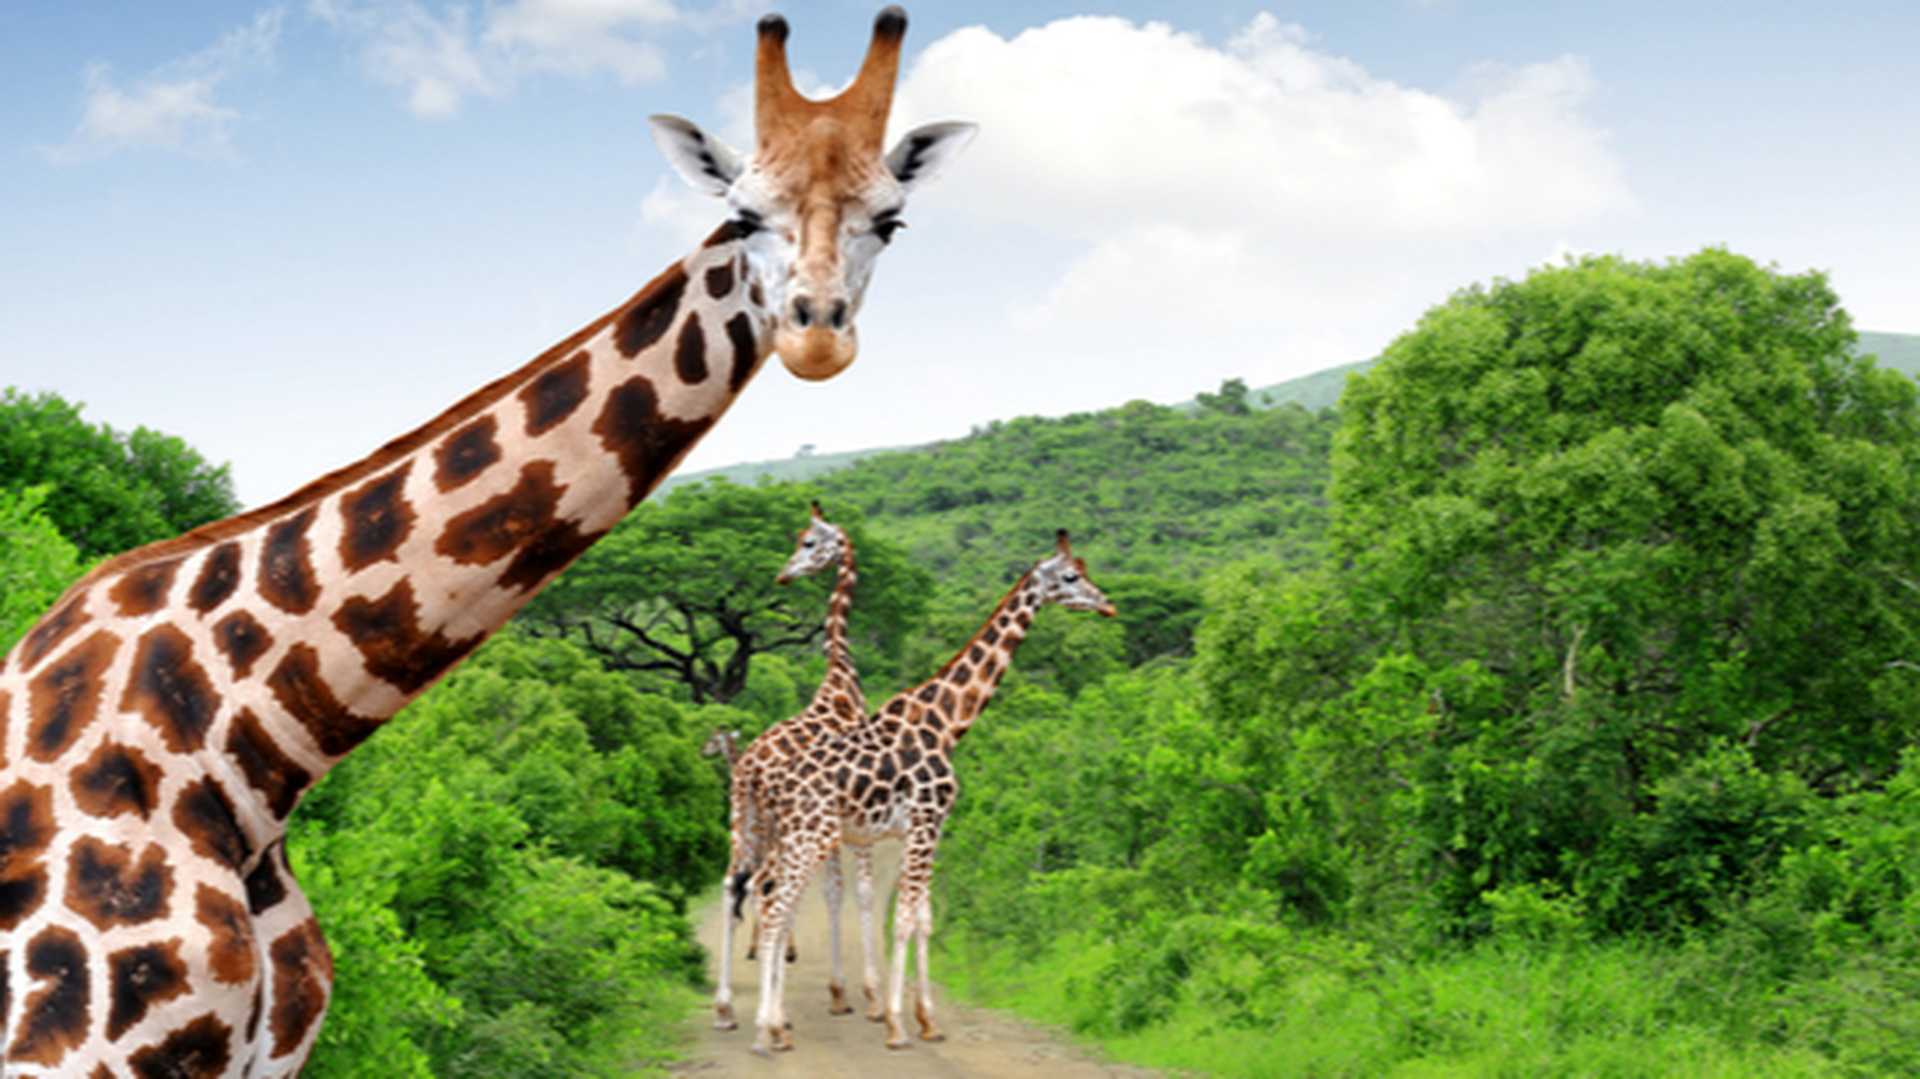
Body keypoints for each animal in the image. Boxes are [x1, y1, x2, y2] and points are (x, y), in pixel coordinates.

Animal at [714, 502, 885, 1030]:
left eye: (808, 541)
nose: (784, 574)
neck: (842, 684)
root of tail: (747, 768)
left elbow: (830, 891)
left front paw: (839, 992)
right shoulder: (856, 821)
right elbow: (856, 891)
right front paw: (865, 995)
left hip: (744, 822)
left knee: (734, 885)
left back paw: (726, 1007)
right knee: (767, 888)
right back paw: (775, 1012)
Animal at [745, 530, 1116, 1055]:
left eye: (1083, 570)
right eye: (1069, 576)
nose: (1107, 604)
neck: (945, 723)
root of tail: (765, 779)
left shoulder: (919, 829)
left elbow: (923, 917)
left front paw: (926, 1021)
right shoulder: (925, 822)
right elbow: (902, 918)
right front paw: (897, 1024)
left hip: (793, 838)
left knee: (767, 897)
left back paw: (773, 1024)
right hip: (807, 838)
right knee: (776, 907)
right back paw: (768, 1030)